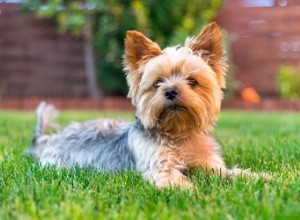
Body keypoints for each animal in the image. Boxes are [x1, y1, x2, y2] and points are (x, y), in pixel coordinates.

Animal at [27, 22, 270, 189]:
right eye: (157, 82)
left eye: (192, 81)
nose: (170, 91)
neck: (178, 134)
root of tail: (48, 139)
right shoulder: (161, 167)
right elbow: (176, 181)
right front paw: (194, 193)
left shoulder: (209, 164)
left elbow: (228, 172)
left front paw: (259, 177)